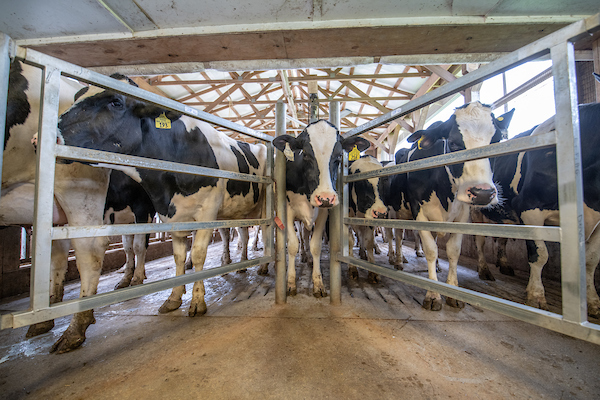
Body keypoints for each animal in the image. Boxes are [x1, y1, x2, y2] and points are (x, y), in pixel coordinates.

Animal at [56, 76, 268, 318]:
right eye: (77, 96)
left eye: (116, 102)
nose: (49, 135)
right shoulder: (170, 214)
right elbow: (177, 256)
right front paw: (174, 297)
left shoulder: (205, 210)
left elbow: (197, 253)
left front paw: (197, 300)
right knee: (240, 234)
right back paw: (238, 263)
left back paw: (260, 265)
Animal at [274, 121, 370, 296]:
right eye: (305, 154)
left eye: (339, 156)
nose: (325, 197)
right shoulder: (288, 211)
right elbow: (292, 245)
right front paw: (290, 282)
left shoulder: (323, 213)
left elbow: (315, 246)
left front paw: (318, 283)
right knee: (301, 238)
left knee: (306, 236)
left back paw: (308, 258)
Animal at [386, 101, 512, 310]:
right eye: (453, 143)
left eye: (497, 140)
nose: (483, 193)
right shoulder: (419, 212)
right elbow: (430, 250)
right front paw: (433, 295)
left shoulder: (462, 215)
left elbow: (453, 251)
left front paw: (452, 292)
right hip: (396, 212)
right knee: (397, 236)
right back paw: (397, 260)